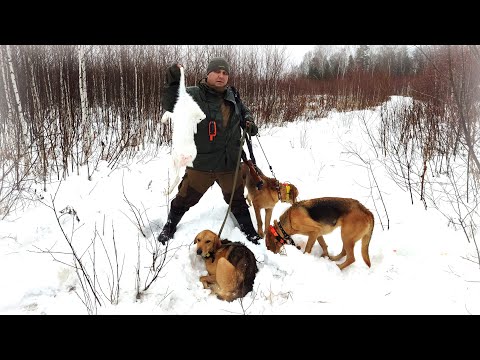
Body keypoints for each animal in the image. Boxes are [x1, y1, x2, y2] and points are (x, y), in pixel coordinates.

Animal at [162, 64, 205, 194]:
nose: (179, 65)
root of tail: (186, 156)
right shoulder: (199, 113)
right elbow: (201, 118)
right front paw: (195, 128)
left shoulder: (175, 115)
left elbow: (168, 113)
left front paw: (162, 119)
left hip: (174, 159)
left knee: (176, 177)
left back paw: (167, 191)